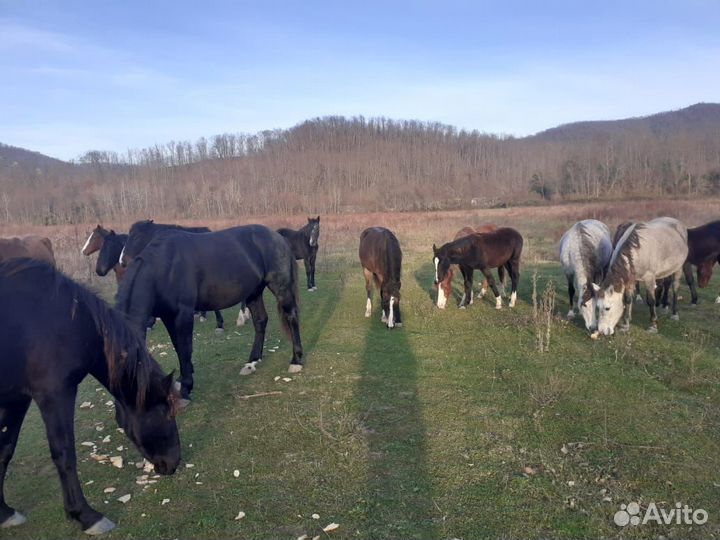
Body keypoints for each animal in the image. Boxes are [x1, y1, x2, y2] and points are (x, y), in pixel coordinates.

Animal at [0, 259, 180, 535]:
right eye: (167, 414)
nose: (174, 462)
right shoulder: (55, 394)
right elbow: (64, 455)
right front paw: (86, 516)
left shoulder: (17, 398)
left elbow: (5, 449)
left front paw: (4, 513)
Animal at [117, 221, 304, 400]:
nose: (122, 260)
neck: (165, 266)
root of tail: (278, 238)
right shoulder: (168, 316)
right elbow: (177, 345)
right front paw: (184, 378)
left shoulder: (184, 313)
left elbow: (185, 347)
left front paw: (186, 386)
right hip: (254, 292)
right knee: (260, 321)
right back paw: (251, 362)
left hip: (281, 288)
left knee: (291, 316)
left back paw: (296, 361)